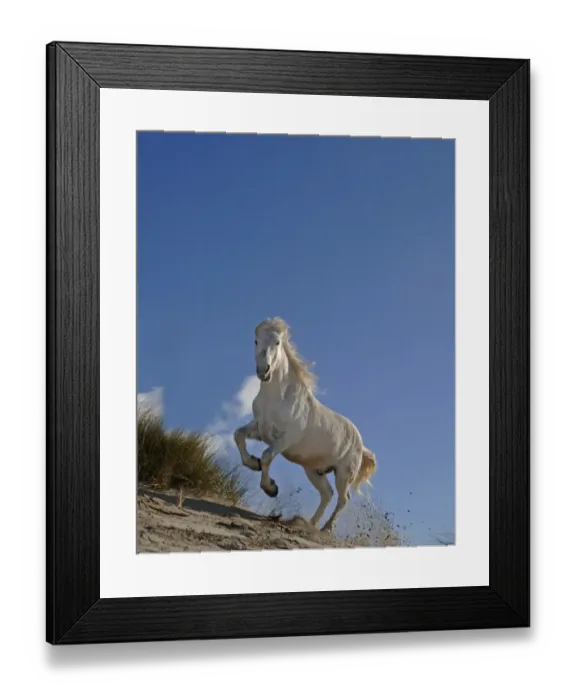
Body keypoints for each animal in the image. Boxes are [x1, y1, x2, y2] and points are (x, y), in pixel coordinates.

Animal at [233, 317, 377, 532]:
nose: (263, 371)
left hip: (343, 474)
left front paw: (271, 488)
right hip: (313, 470)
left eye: (277, 342)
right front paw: (253, 463)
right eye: (256, 341)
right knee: (327, 494)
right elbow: (238, 435)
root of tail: (361, 444)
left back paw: (326, 528)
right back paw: (310, 524)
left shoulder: (285, 439)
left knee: (343, 498)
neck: (276, 397)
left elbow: (266, 456)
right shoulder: (259, 428)